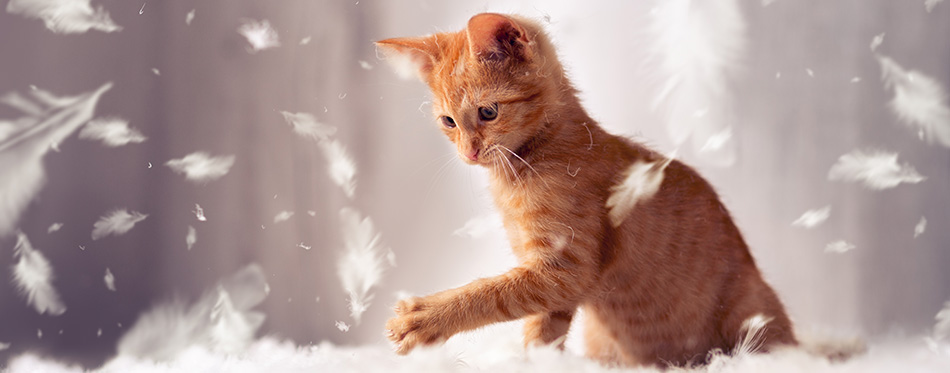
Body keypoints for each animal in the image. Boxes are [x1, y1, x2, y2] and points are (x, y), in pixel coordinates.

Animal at [378, 13, 796, 364]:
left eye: (488, 112)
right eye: (448, 122)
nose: (469, 152)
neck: (524, 168)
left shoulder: (565, 269)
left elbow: (493, 293)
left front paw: (426, 317)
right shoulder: (547, 278)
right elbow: (540, 328)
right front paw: (535, 361)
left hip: (751, 313)